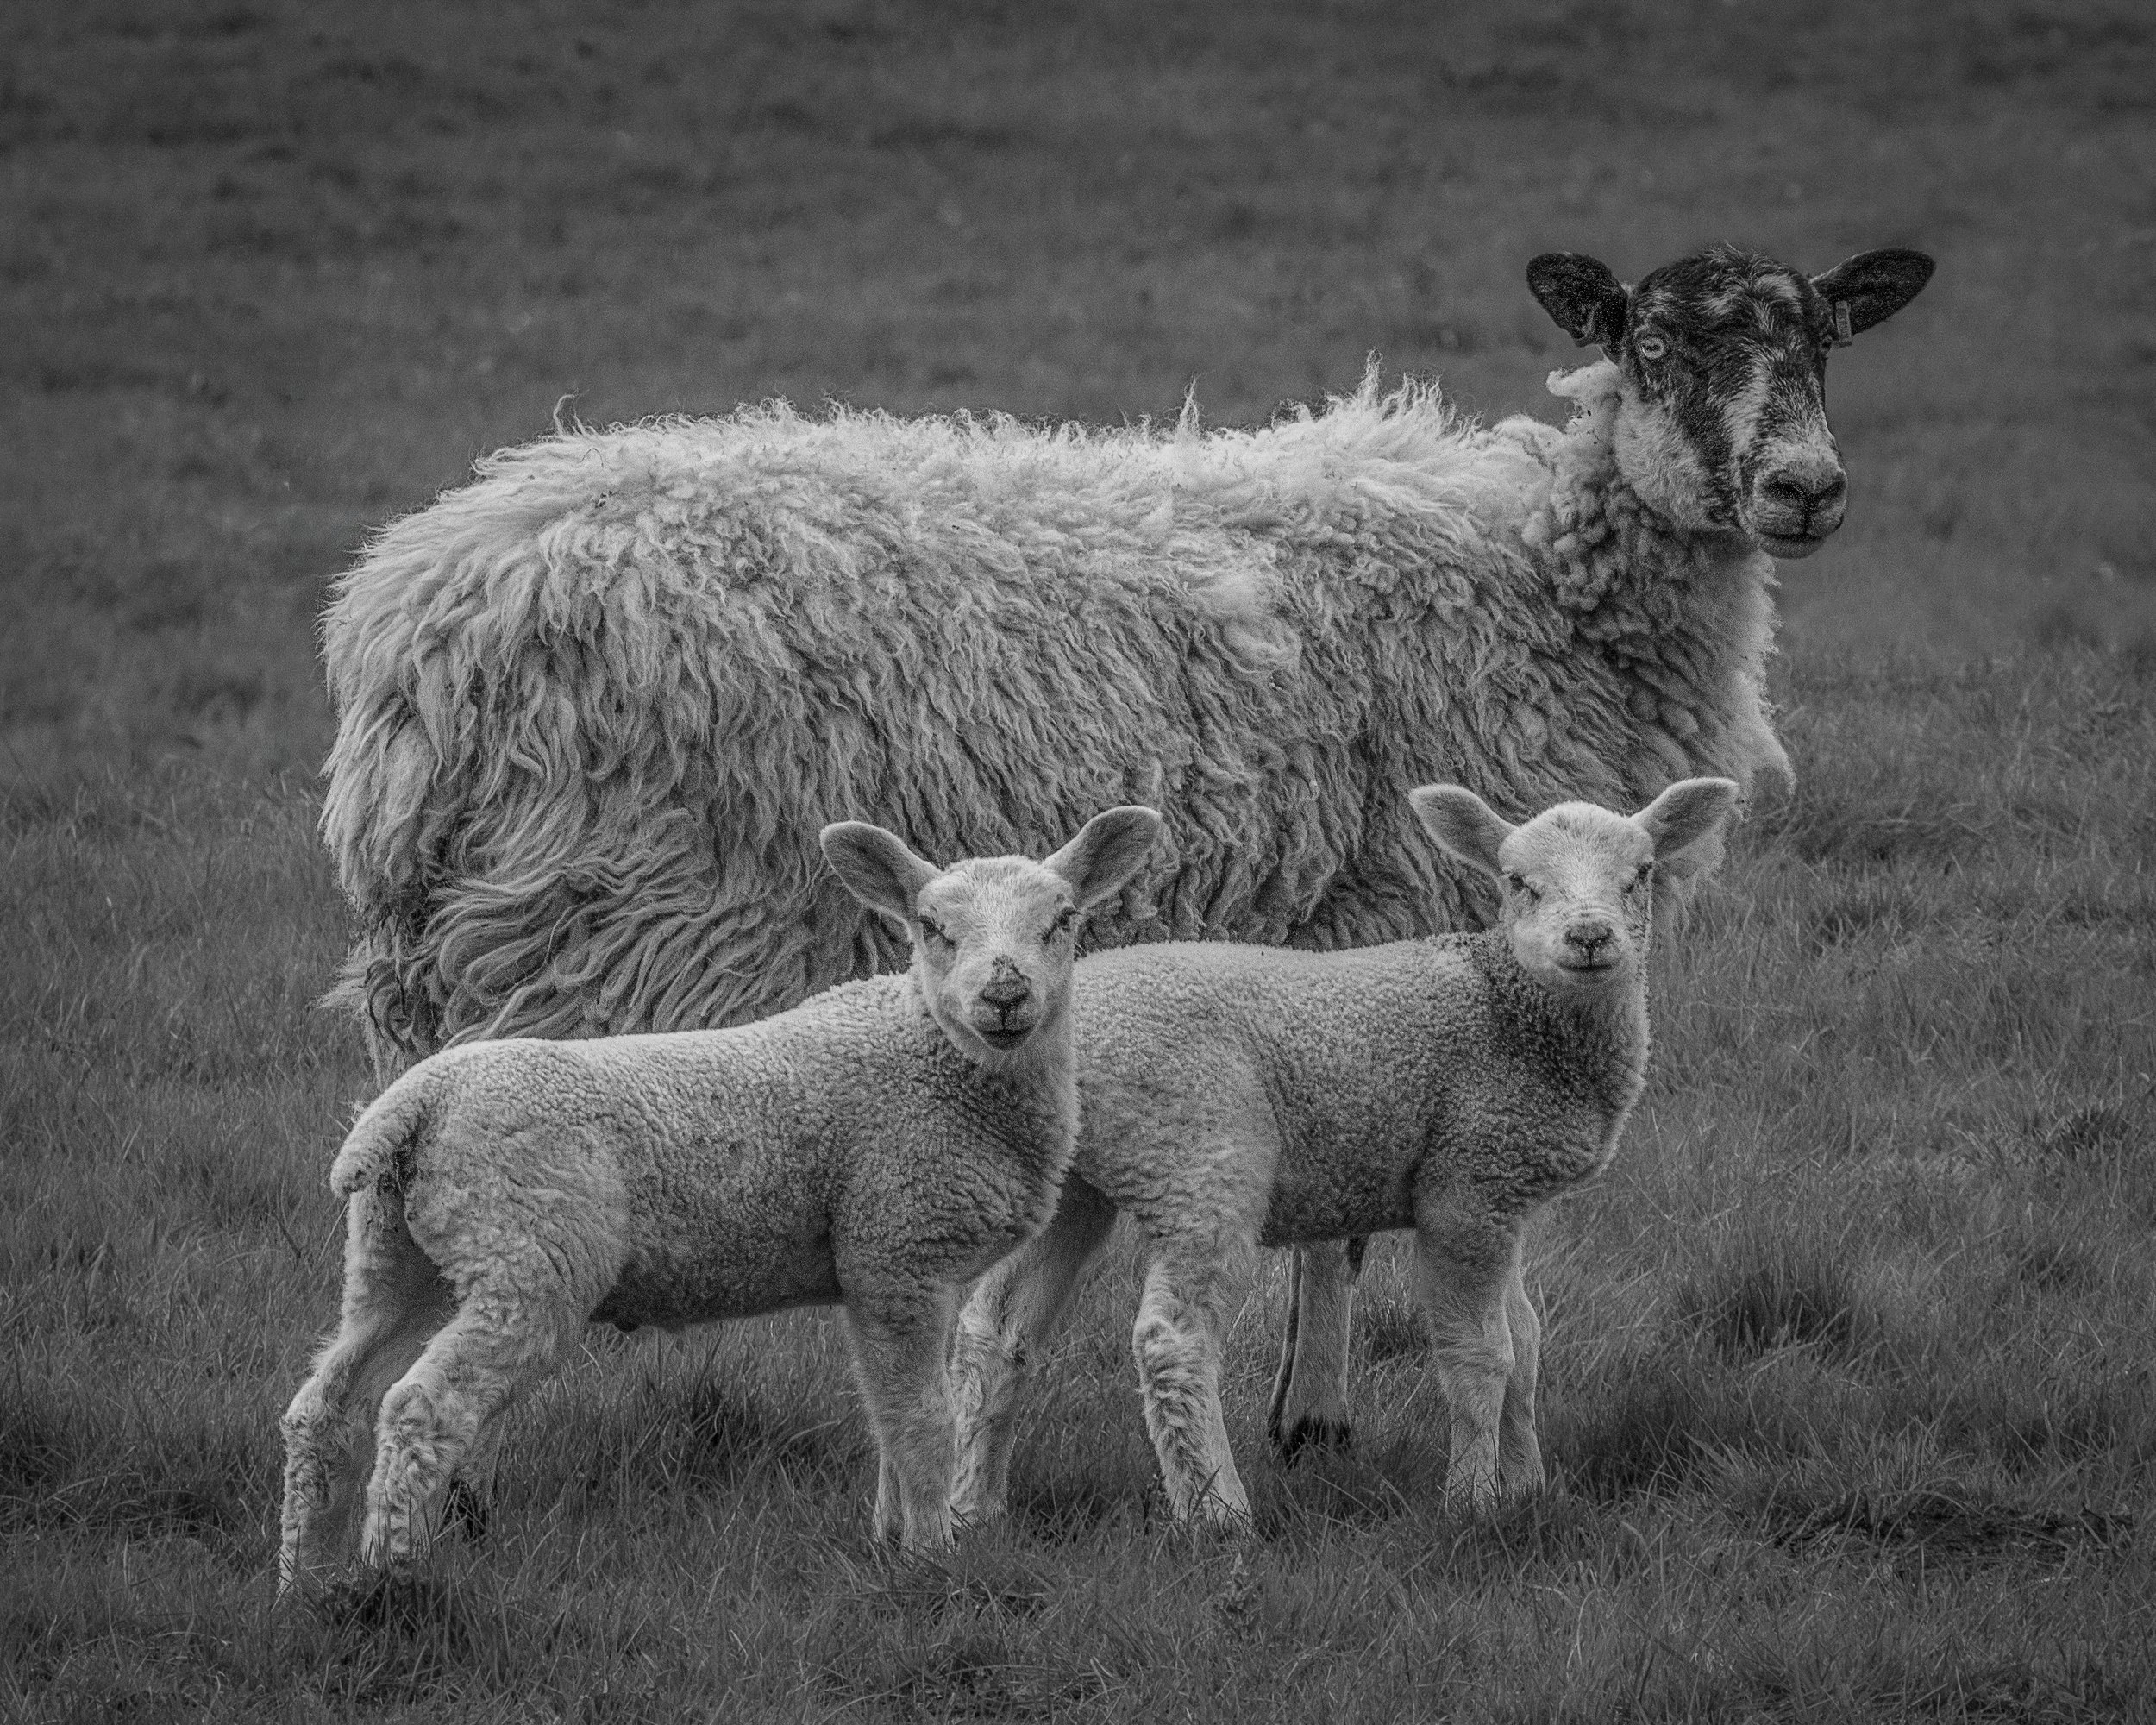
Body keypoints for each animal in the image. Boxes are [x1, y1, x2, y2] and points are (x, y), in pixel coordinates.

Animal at [274, 804, 1164, 1593]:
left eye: (1062, 921)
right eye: (931, 927)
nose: (1005, 995)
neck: (938, 1060)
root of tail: (414, 1103)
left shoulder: (899, 1270)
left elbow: (888, 1416)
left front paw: (891, 1541)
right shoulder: (897, 1252)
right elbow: (921, 1423)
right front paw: (934, 1558)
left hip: (399, 1255)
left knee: (326, 1405)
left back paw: (304, 1581)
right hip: (528, 1255)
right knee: (418, 1408)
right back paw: (392, 1578)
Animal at [946, 778, 1741, 1527]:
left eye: (1640, 874)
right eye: (1520, 882)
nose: (1589, 937)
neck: (1507, 1009)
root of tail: (1059, 1024)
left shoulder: (1503, 1193)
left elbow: (1527, 1344)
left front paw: (1529, 1490)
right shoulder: (1466, 1186)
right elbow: (1482, 1354)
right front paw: (1474, 1501)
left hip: (1068, 1181)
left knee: (999, 1332)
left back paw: (972, 1511)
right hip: (1200, 1153)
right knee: (1172, 1342)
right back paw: (1219, 1514)